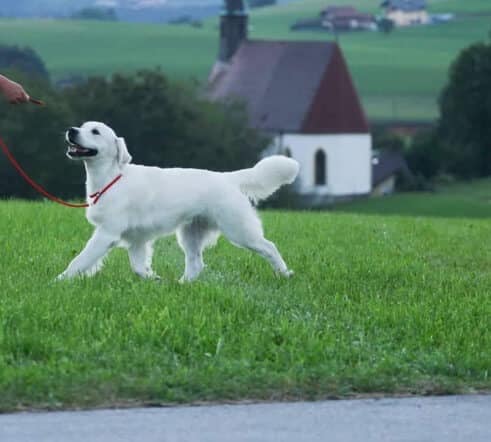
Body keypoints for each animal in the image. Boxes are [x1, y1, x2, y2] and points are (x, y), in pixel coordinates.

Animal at [55, 121, 298, 282]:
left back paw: (284, 273)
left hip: (239, 230)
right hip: (190, 234)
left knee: (269, 247)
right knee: (196, 263)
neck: (111, 178)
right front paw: (153, 279)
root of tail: (228, 177)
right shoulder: (137, 240)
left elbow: (80, 260)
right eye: (82, 126)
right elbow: (138, 266)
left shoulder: (107, 233)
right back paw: (182, 284)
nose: (71, 131)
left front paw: (60, 280)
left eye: (95, 131)